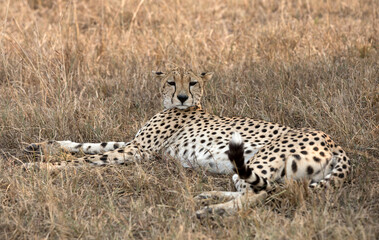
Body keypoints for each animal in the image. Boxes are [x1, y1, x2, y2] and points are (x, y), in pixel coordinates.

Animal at [23, 66, 350, 217]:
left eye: (192, 82)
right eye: (171, 82)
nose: (181, 96)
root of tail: (333, 141)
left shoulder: (139, 151)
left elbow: (89, 158)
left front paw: (40, 168)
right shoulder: (135, 145)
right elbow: (91, 145)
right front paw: (42, 147)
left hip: (258, 159)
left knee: (260, 194)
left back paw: (213, 211)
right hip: (250, 169)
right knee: (261, 190)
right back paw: (208, 198)